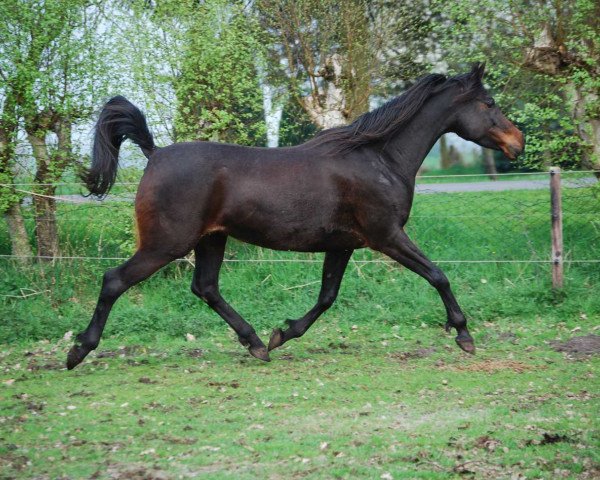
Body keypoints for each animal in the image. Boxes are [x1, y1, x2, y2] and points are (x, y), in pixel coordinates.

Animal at [67, 63, 524, 370]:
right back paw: (78, 351)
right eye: (489, 102)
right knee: (115, 280)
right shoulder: (387, 236)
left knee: (206, 288)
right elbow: (438, 275)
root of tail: (155, 152)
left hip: (211, 238)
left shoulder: (343, 245)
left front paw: (282, 334)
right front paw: (464, 335)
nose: (518, 142)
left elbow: (326, 297)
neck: (378, 158)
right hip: (167, 243)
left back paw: (256, 343)